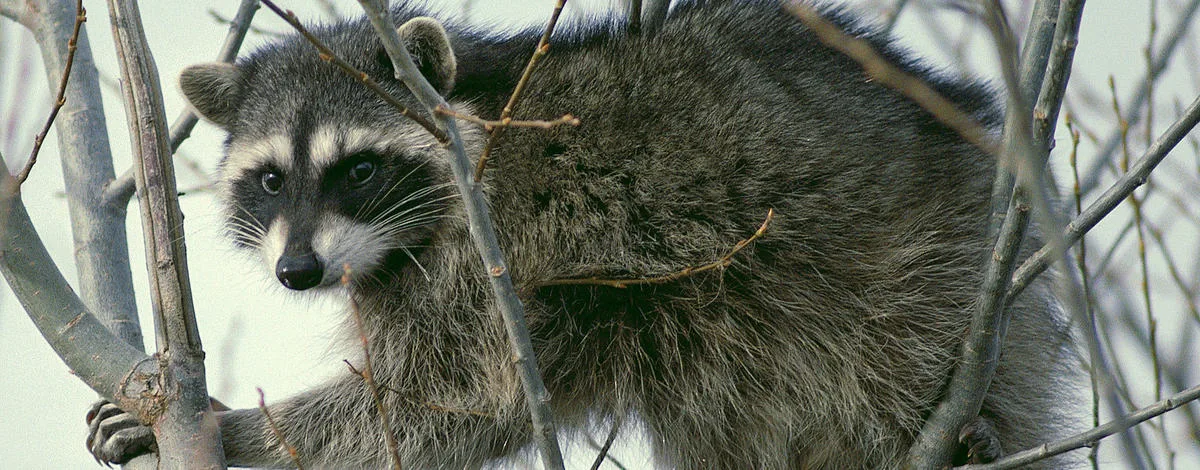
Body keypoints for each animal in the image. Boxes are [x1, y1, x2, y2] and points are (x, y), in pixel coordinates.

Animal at [87, 0, 1081, 468]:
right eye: (269, 180)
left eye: (358, 170)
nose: (298, 271)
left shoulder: (504, 255)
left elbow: (441, 403)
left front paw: (241, 430)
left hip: (926, 262)